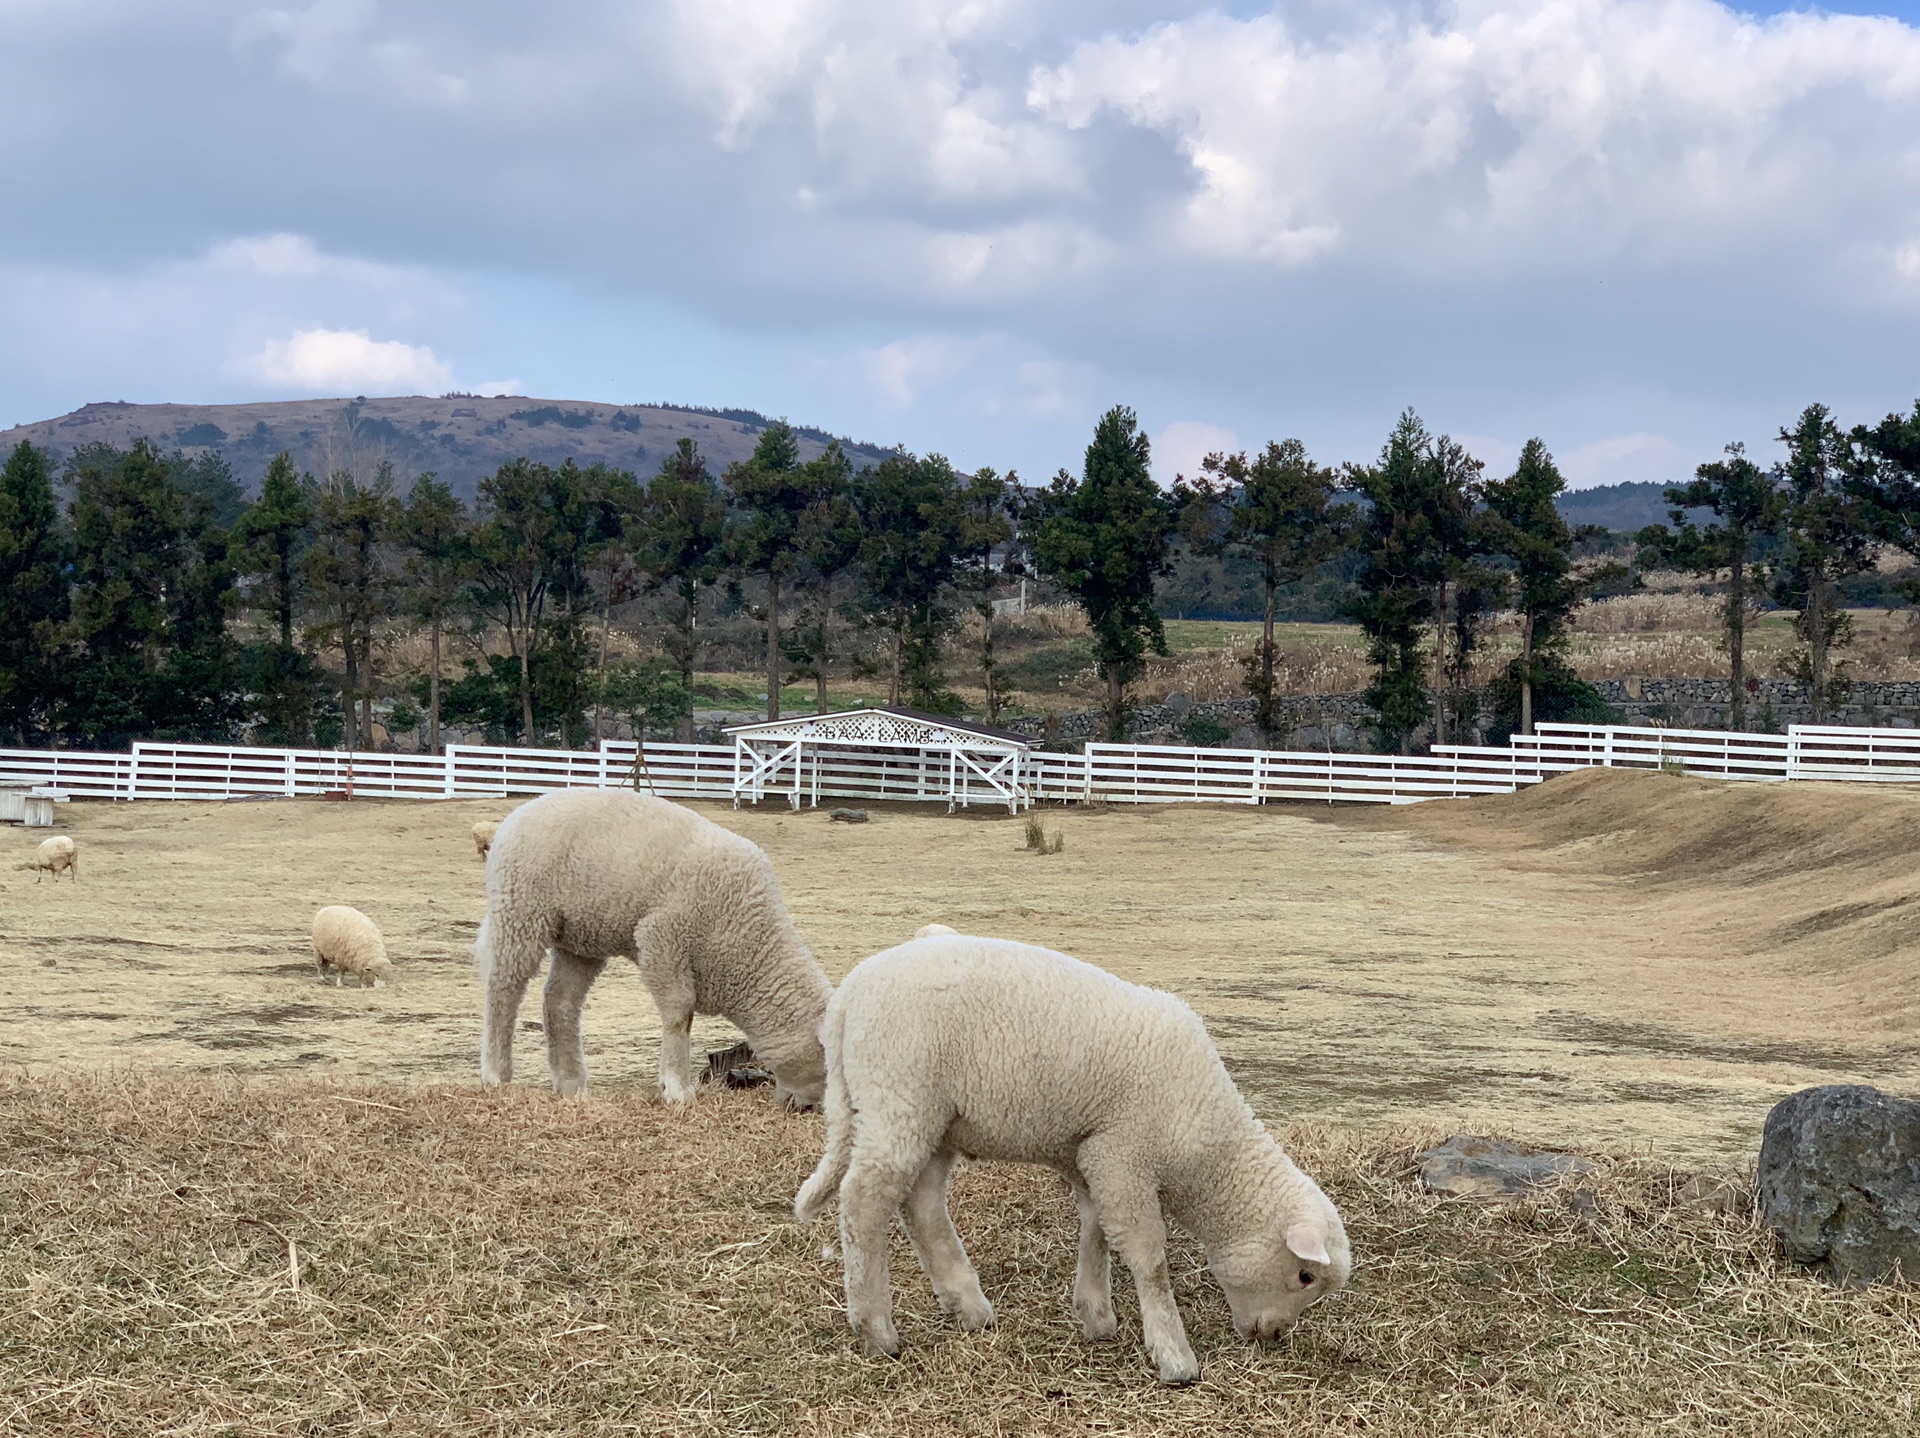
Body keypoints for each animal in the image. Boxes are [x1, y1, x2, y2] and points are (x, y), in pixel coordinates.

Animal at [476, 790, 829, 1105]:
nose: (811, 1109)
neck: (751, 946)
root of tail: (513, 818)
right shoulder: (663, 938)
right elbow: (680, 1014)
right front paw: (677, 1089)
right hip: (520, 909)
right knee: (503, 987)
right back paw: (495, 1074)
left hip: (581, 937)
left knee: (559, 1001)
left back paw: (570, 1084)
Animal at [794, 933, 1351, 1382]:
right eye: (1304, 1276)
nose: (1274, 1336)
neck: (1205, 1148)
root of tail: (847, 996)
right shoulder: (1122, 1153)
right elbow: (1149, 1258)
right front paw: (1173, 1355)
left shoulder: (1093, 1155)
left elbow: (1096, 1228)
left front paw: (1096, 1314)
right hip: (899, 1095)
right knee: (862, 1201)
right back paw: (876, 1329)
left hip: (936, 1118)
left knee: (923, 1203)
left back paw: (967, 1305)